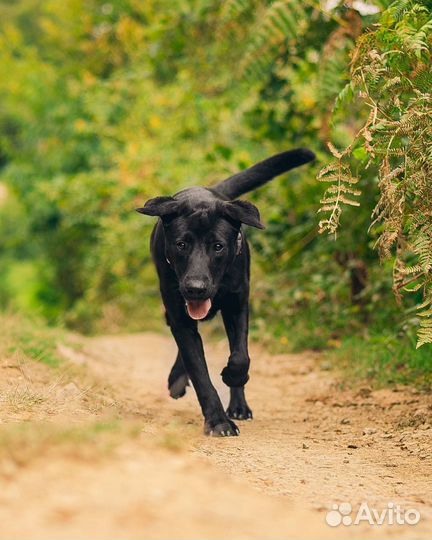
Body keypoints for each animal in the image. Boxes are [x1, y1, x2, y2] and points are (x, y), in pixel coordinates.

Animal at [138, 148, 314, 434]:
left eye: (218, 246)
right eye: (181, 244)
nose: (195, 289)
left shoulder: (238, 303)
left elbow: (241, 356)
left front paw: (232, 377)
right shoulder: (179, 313)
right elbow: (199, 370)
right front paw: (218, 421)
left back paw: (239, 406)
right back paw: (178, 380)